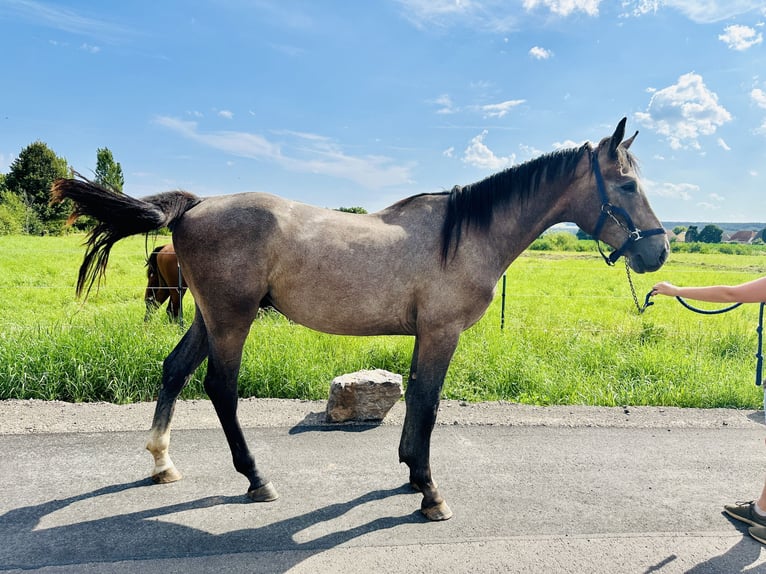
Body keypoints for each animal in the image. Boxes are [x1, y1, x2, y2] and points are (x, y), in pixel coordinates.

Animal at [51, 119, 668, 524]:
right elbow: (428, 403)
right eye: (627, 184)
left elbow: (418, 400)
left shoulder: (426, 337)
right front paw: (428, 492)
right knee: (220, 388)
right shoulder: (440, 334)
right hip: (231, 319)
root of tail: (197, 204)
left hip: (206, 317)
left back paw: (162, 463)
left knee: (174, 370)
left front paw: (411, 474)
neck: (464, 234)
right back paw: (256, 479)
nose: (658, 251)